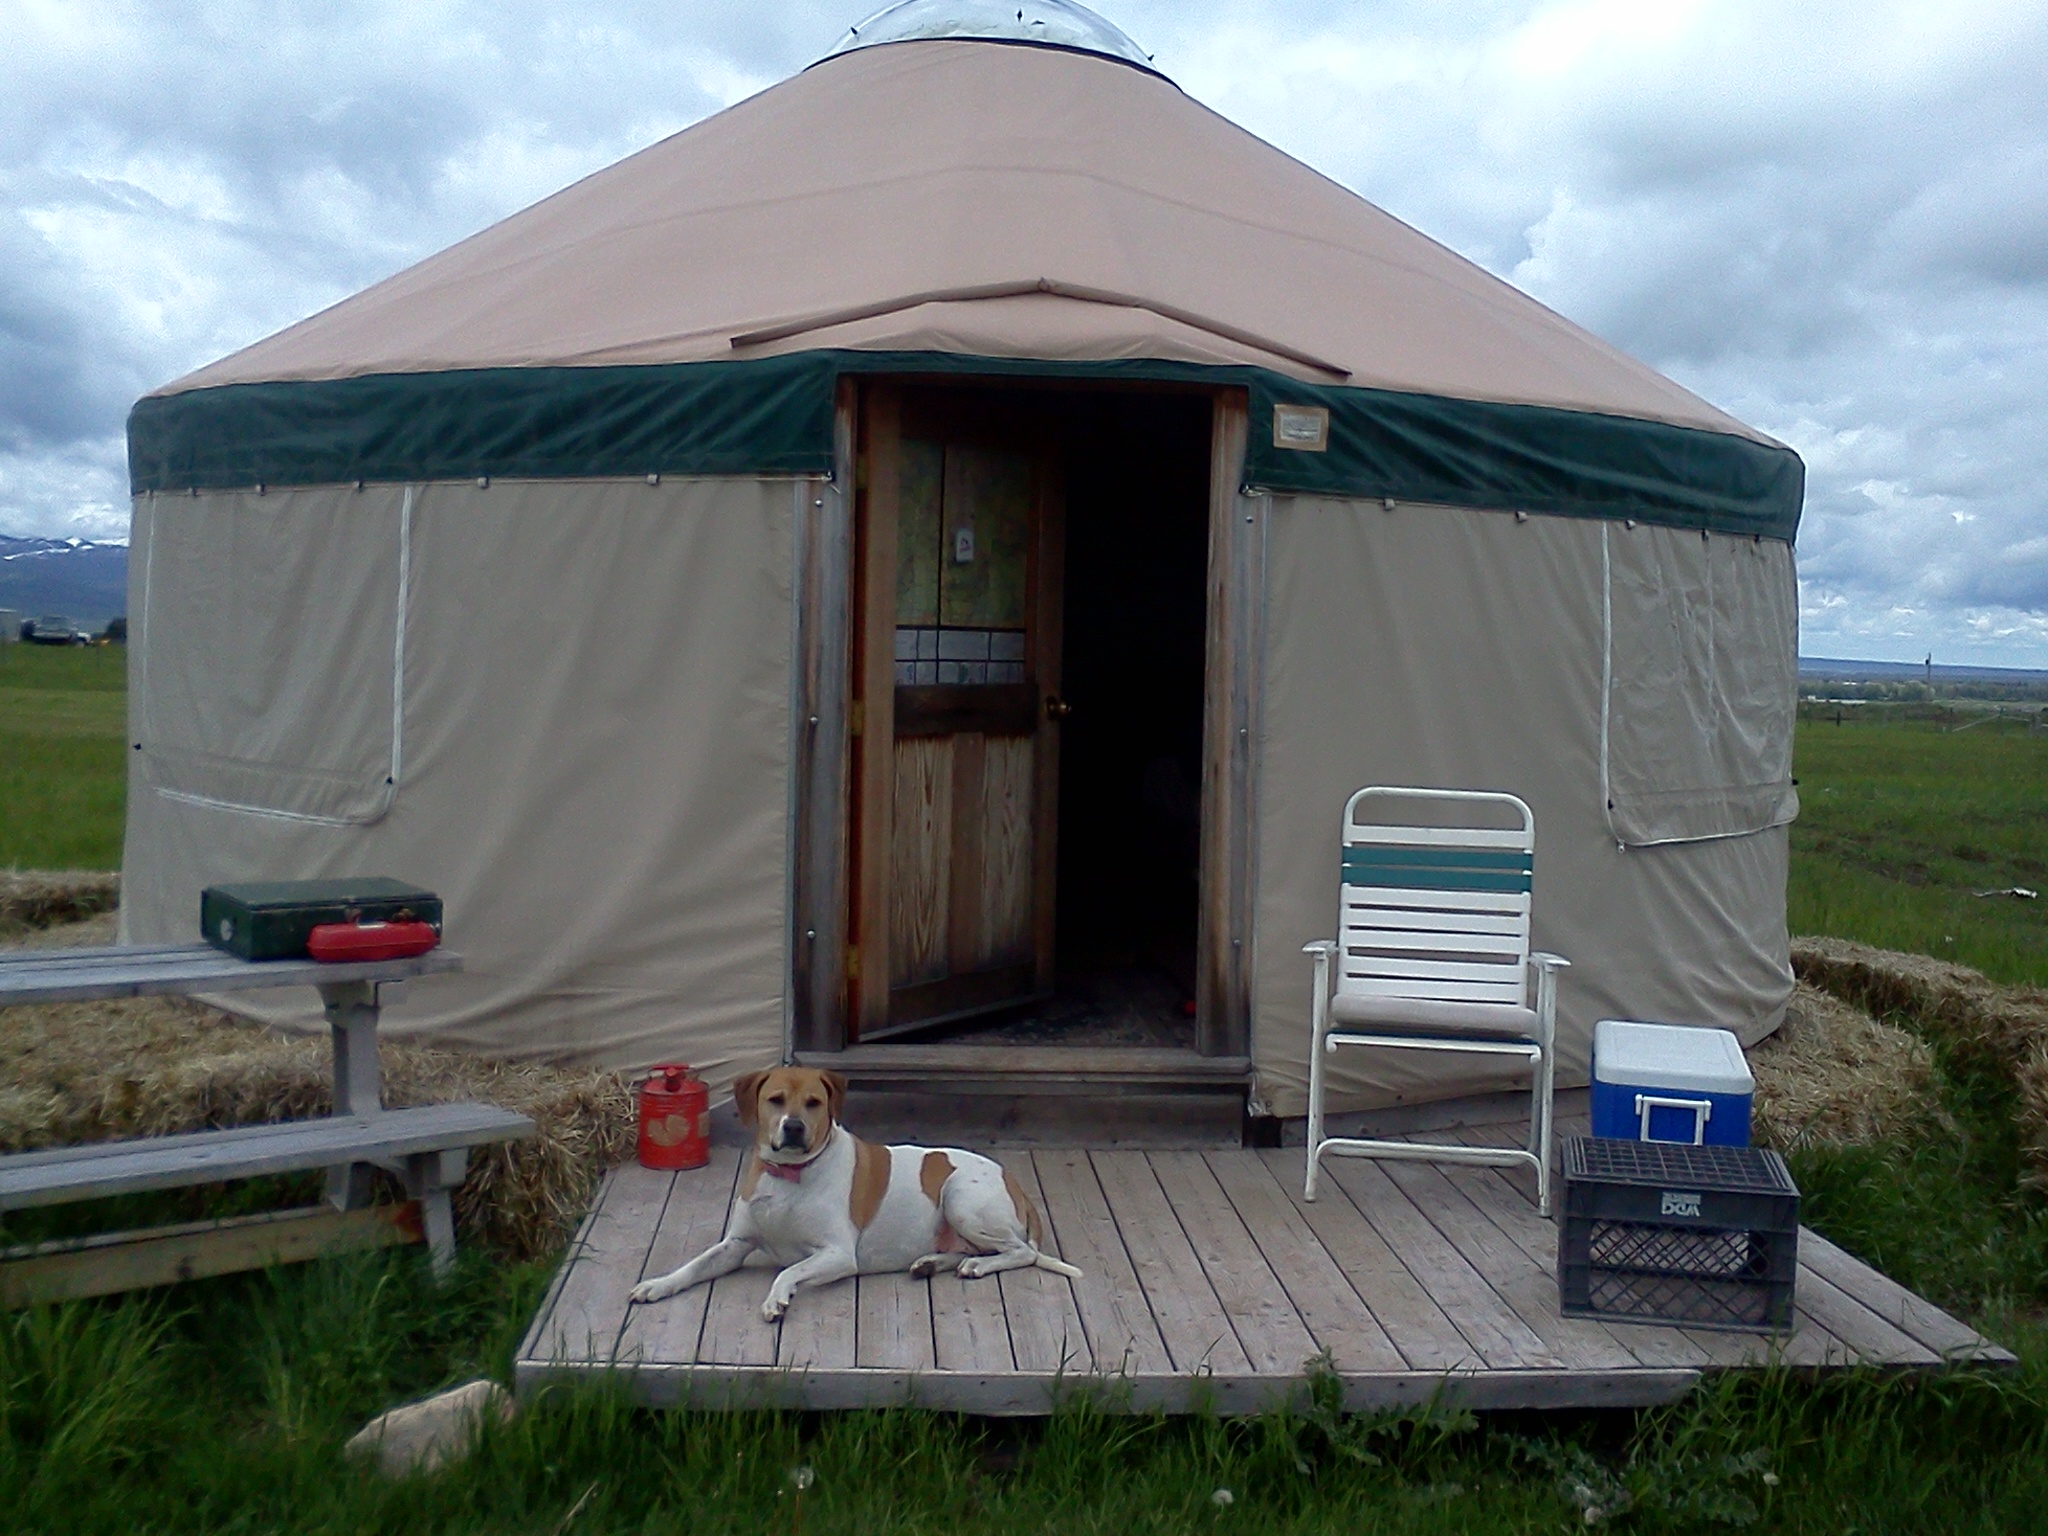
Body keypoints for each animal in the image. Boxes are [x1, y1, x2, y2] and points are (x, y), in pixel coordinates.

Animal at [626, 1073, 1081, 1327]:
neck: (791, 1175)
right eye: (775, 1099)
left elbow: (787, 1272)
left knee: (1022, 1251)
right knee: (974, 1249)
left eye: (814, 1102)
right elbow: (693, 1266)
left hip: (959, 1195)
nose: (793, 1127)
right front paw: (656, 1285)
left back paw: (977, 1266)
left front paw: (777, 1300)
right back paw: (934, 1263)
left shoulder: (837, 1255)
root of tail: (1013, 1179)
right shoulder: (734, 1246)